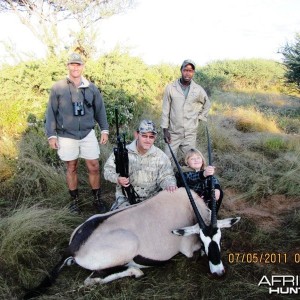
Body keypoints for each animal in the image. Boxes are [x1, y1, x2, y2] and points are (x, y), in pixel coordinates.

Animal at [22, 189, 241, 298]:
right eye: (203, 241)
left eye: (219, 238)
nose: (219, 272)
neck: (188, 205)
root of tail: (73, 247)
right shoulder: (187, 249)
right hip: (126, 249)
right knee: (92, 280)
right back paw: (135, 271)